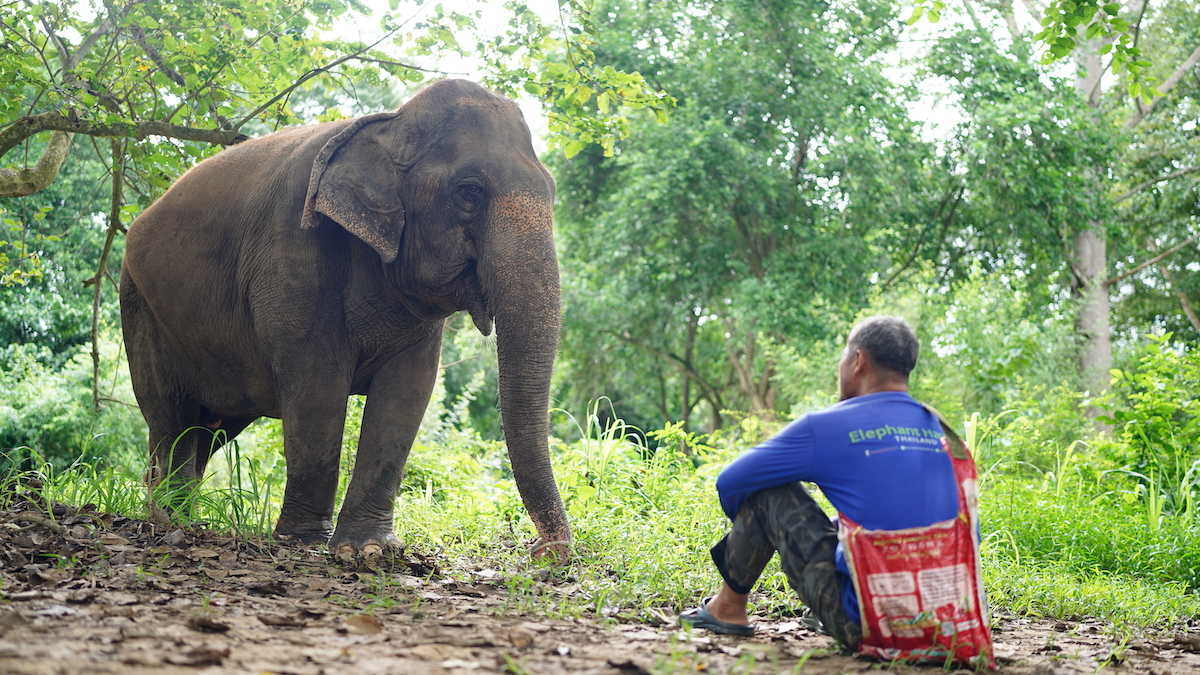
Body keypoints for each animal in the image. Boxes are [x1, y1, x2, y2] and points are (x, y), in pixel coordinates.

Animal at [119, 79, 571, 559]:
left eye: (551, 191)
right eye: (470, 192)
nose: (542, 550)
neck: (391, 125)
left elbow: (407, 391)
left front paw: (369, 550)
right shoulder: (292, 249)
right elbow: (319, 383)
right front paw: (303, 541)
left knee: (206, 430)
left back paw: (175, 512)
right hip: (141, 306)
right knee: (172, 416)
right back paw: (172, 518)